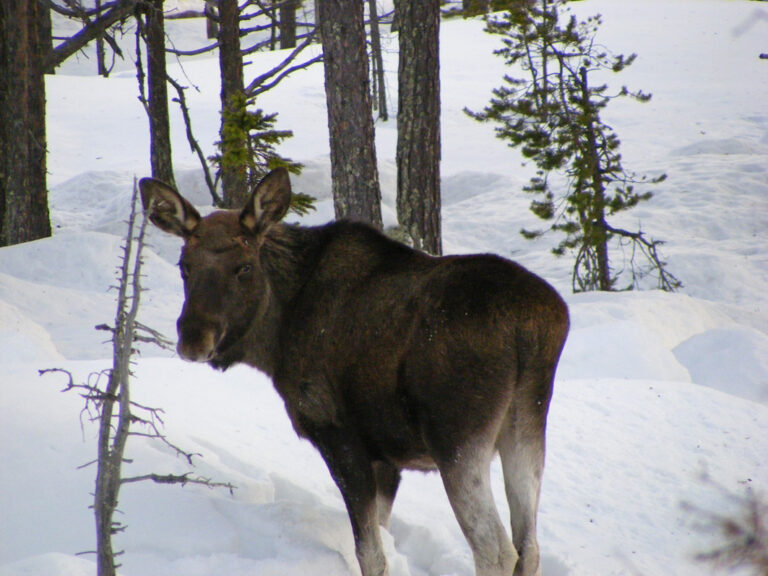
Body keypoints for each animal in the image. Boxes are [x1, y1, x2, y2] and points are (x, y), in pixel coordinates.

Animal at [140, 168, 568, 576]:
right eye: (184, 267)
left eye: (243, 267)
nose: (193, 339)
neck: (275, 338)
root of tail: (533, 326)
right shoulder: (387, 459)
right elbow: (383, 537)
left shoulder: (338, 434)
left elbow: (369, 553)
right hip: (527, 426)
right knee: (529, 548)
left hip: (457, 439)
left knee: (496, 550)